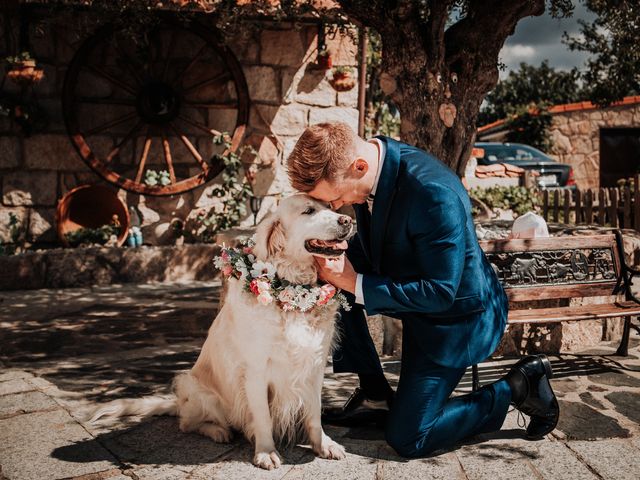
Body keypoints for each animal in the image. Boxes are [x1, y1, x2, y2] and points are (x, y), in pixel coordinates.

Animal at [85, 195, 352, 468]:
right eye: (309, 211)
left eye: (330, 207)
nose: (347, 220)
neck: (292, 291)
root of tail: (179, 403)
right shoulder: (256, 370)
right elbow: (263, 418)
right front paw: (266, 451)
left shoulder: (314, 364)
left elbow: (314, 414)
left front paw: (323, 445)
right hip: (196, 389)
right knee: (187, 423)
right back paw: (218, 431)